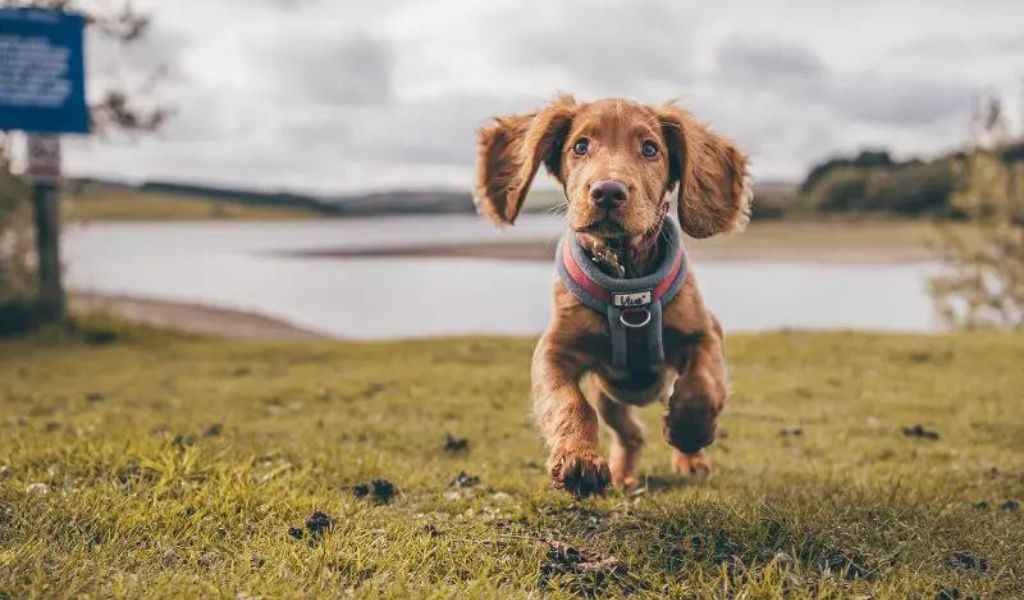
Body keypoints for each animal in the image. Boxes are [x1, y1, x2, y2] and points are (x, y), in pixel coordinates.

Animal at [475, 94, 749, 495]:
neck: (625, 275)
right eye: (580, 146)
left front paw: (688, 432)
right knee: (630, 433)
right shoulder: (553, 352)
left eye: (650, 148)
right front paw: (578, 460)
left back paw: (690, 460)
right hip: (610, 397)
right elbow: (568, 402)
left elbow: (702, 385)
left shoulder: (706, 332)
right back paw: (623, 474)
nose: (607, 192)